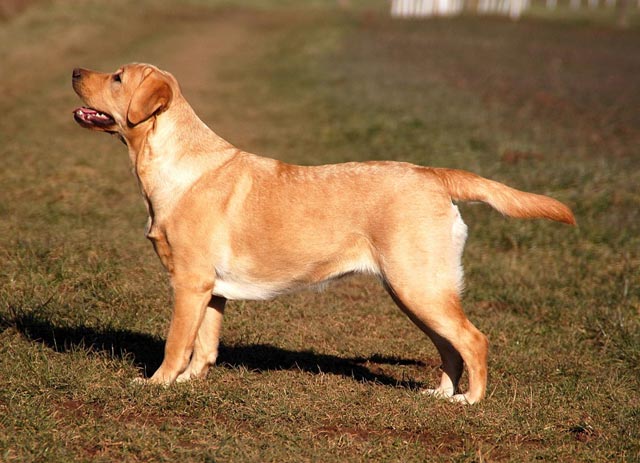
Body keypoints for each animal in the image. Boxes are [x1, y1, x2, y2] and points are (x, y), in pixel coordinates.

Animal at [72, 63, 575, 404]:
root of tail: (433, 173)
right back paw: (440, 395)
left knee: (474, 340)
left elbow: (177, 343)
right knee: (450, 347)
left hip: (419, 287)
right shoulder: (211, 290)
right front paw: (191, 383)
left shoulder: (189, 282)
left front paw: (157, 383)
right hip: (414, 291)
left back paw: (470, 400)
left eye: (117, 78)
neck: (171, 161)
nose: (75, 70)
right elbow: (205, 346)